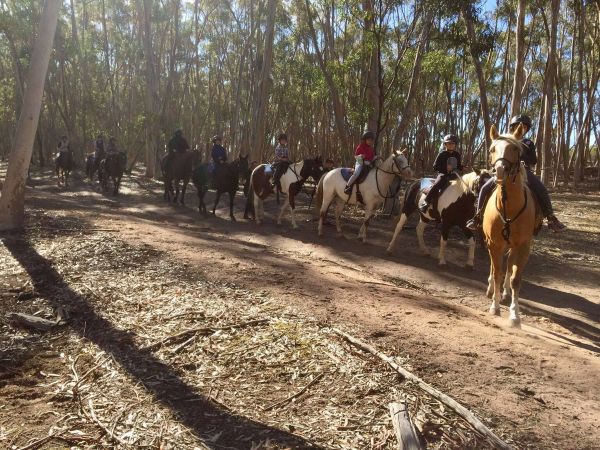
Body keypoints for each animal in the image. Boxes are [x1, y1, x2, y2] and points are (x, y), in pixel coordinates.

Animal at [482, 123, 544, 326]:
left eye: (516, 149)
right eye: (492, 149)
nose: (500, 171)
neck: (508, 206)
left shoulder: (523, 245)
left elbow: (515, 278)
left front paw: (514, 315)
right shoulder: (494, 243)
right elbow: (497, 273)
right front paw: (494, 307)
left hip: (512, 246)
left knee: (509, 266)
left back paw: (505, 293)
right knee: (496, 267)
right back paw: (492, 289)